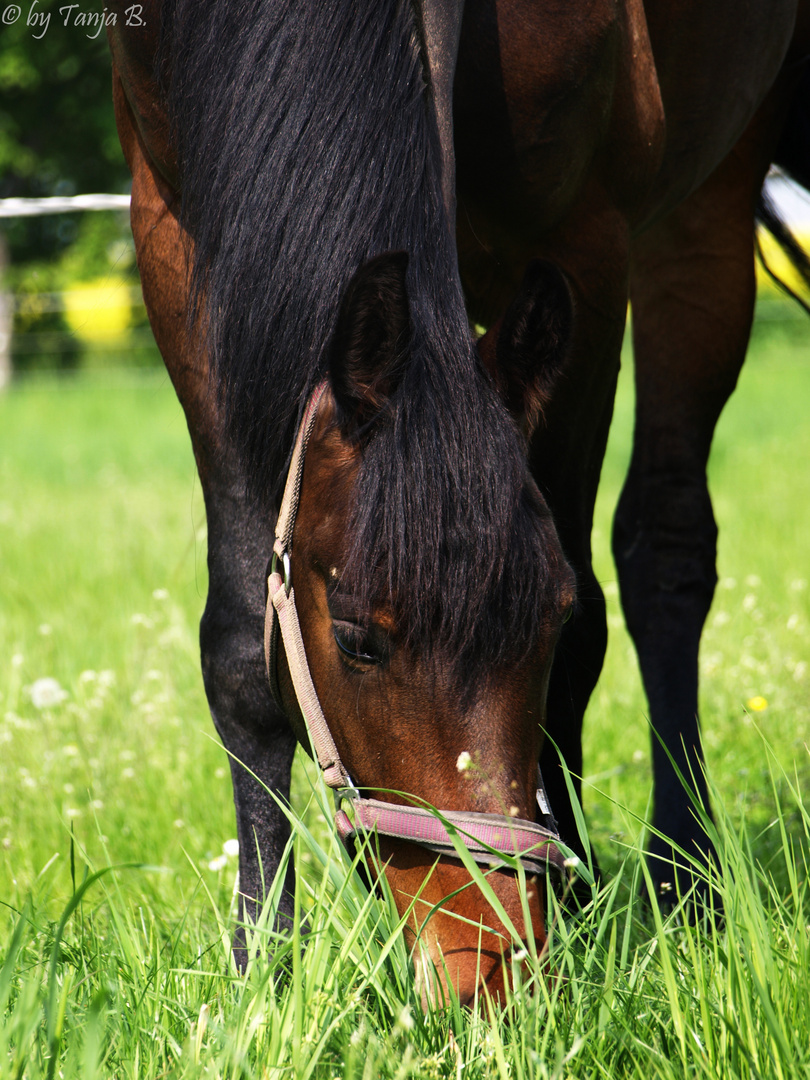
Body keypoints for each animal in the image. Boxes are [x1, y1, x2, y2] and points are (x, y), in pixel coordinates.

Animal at [108, 0, 810, 1002]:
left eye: (545, 627)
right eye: (356, 639)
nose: (492, 969)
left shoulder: (585, 238)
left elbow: (587, 631)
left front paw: (583, 913)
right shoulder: (167, 224)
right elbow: (241, 649)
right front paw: (263, 966)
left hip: (702, 218)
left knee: (665, 546)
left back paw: (685, 879)